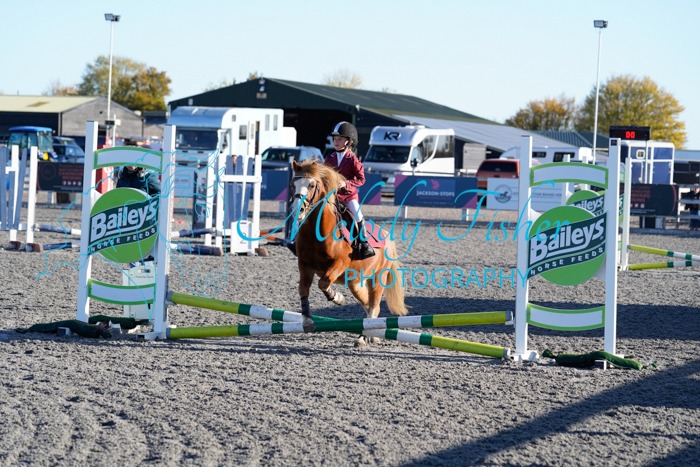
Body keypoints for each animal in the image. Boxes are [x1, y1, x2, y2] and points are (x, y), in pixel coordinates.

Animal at [290, 160, 408, 346]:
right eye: (293, 184)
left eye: (311, 185)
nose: (298, 210)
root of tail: (387, 238)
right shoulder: (304, 264)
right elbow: (303, 289)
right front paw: (307, 321)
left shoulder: (339, 263)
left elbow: (323, 283)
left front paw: (337, 298)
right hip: (356, 283)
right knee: (368, 304)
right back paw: (371, 334)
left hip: (378, 279)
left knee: (374, 305)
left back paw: (363, 337)